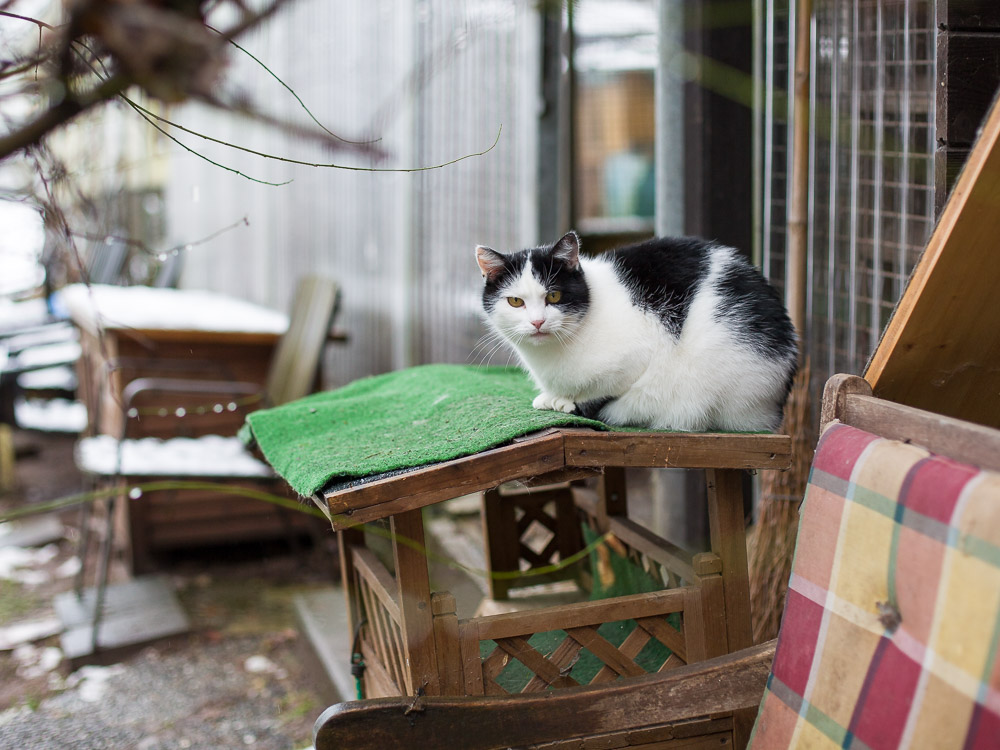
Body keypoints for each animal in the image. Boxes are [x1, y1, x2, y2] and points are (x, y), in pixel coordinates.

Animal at [474, 234, 796, 434]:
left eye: (553, 295)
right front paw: (556, 397)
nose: (538, 322)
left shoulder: (636, 357)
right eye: (516, 301)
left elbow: (602, 392)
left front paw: (569, 403)